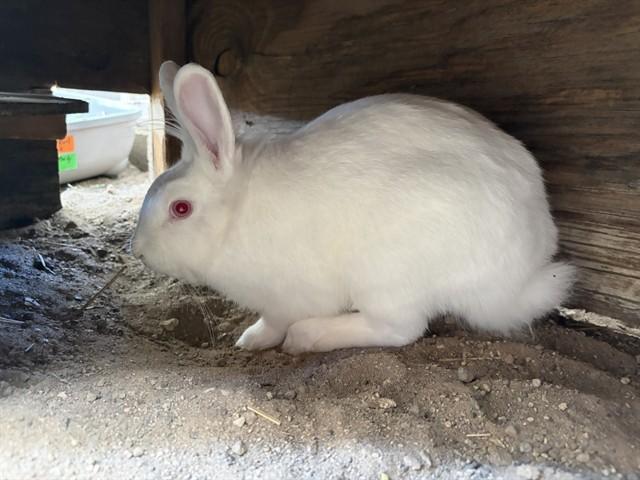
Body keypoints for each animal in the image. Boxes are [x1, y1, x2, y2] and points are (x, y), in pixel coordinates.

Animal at [132, 61, 575, 354]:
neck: (237, 213)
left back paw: (307, 337)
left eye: (181, 209)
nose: (137, 252)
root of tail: (518, 279)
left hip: (387, 275)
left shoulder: (287, 297)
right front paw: (248, 341)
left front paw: (259, 340)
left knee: (400, 329)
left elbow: (277, 321)